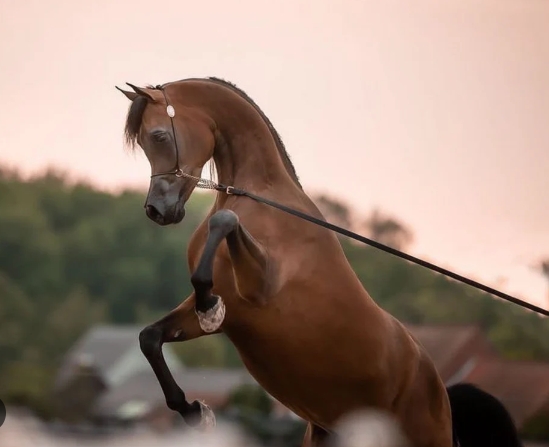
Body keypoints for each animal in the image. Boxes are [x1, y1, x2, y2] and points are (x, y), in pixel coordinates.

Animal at [116, 78, 524, 447]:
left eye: (159, 136)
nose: (156, 210)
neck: (259, 197)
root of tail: (443, 394)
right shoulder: (235, 314)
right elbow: (149, 338)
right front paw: (194, 412)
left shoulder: (259, 286)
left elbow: (225, 223)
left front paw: (208, 305)